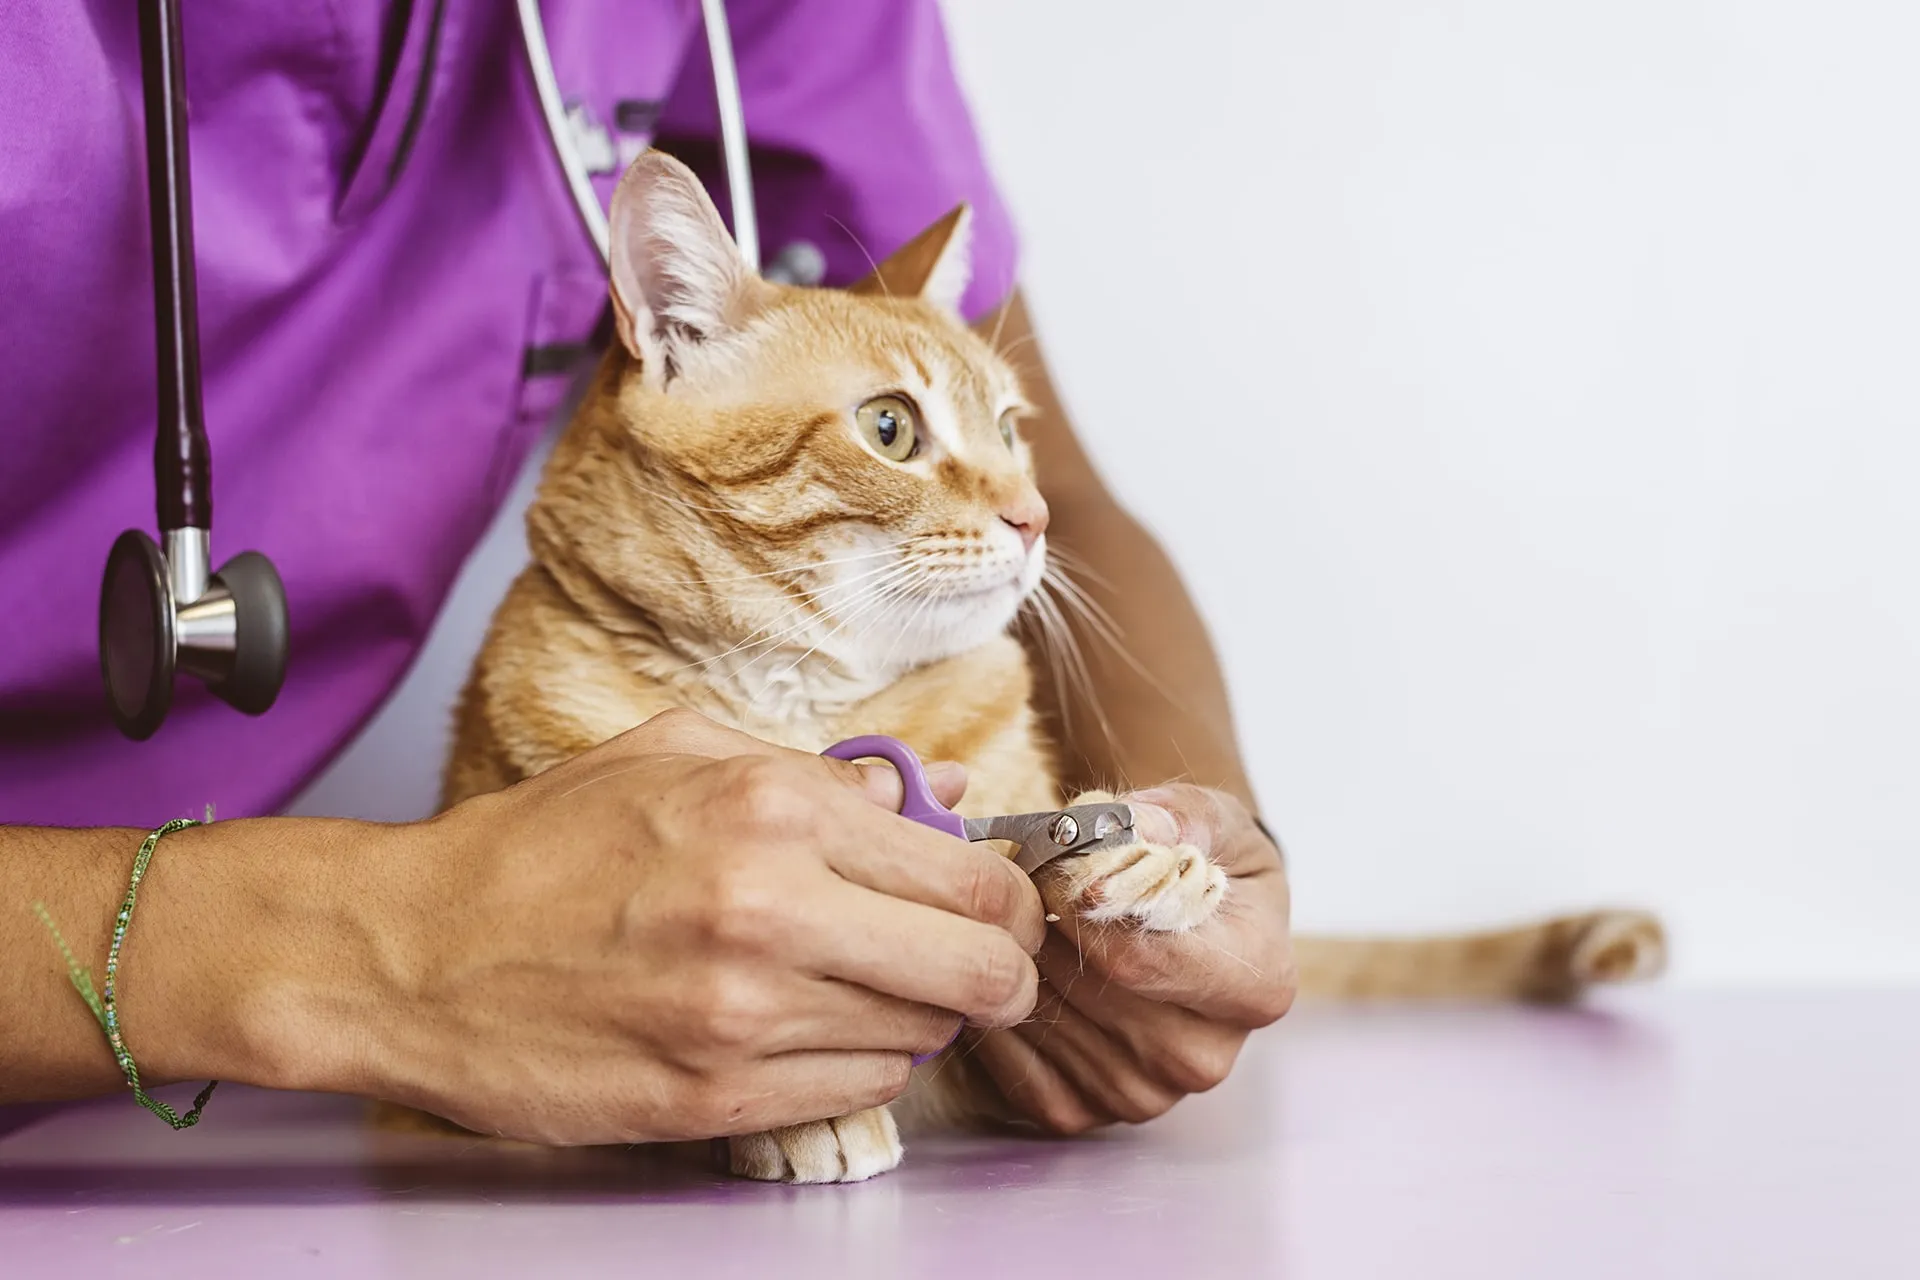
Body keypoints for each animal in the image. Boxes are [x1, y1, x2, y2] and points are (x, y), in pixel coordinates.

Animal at [424, 155, 1666, 1189]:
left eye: (1014, 430)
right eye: (890, 426)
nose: (1035, 515)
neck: (800, 701)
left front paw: (1150, 863)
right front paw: (806, 1113)